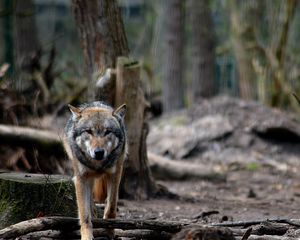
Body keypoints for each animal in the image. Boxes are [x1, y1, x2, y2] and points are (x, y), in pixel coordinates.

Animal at [63, 101, 127, 240]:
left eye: (107, 132)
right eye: (88, 131)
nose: (99, 152)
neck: (98, 166)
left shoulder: (115, 174)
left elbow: (111, 207)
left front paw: (110, 231)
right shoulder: (80, 179)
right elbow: (84, 214)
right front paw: (87, 236)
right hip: (87, 178)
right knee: (90, 203)